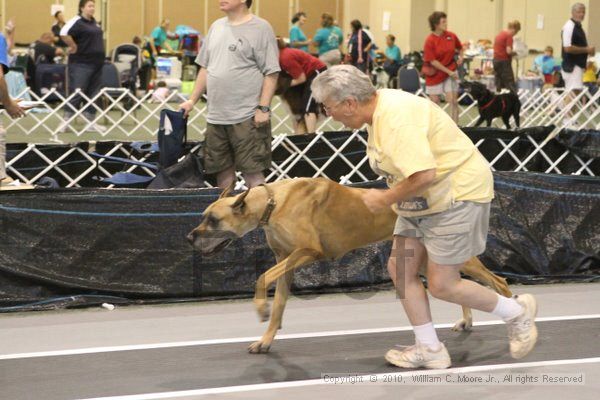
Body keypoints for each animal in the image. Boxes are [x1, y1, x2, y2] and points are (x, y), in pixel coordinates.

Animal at [189, 178, 510, 354]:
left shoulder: (309, 252)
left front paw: (260, 308)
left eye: (213, 220)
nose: (190, 237)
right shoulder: (286, 261)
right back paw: (467, 320)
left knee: (499, 282)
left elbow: (261, 278)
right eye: (203, 216)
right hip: (426, 257)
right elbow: (279, 300)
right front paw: (266, 339)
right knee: (454, 284)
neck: (271, 202)